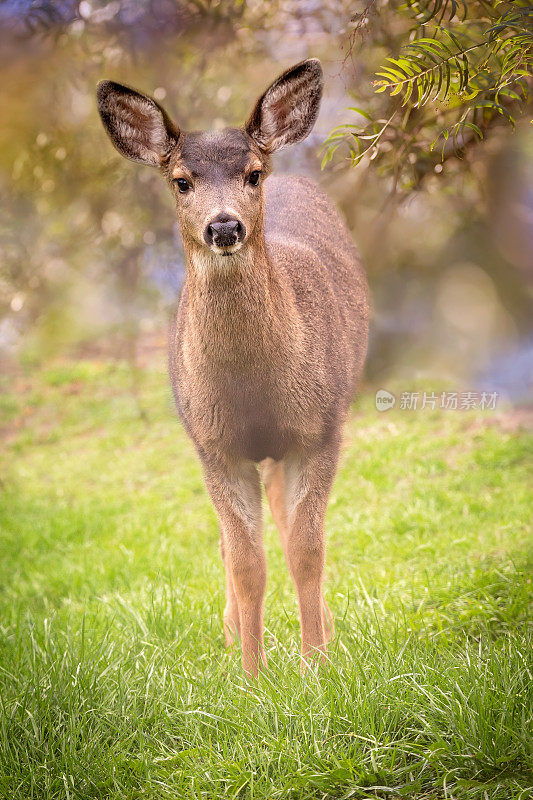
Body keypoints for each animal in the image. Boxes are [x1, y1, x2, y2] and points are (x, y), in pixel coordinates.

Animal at [95, 59, 368, 680]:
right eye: (181, 180)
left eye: (252, 174)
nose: (224, 227)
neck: (254, 391)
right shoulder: (213, 445)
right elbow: (246, 561)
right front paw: (252, 673)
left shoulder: (321, 430)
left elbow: (305, 549)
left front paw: (315, 664)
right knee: (234, 541)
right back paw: (230, 632)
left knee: (287, 523)